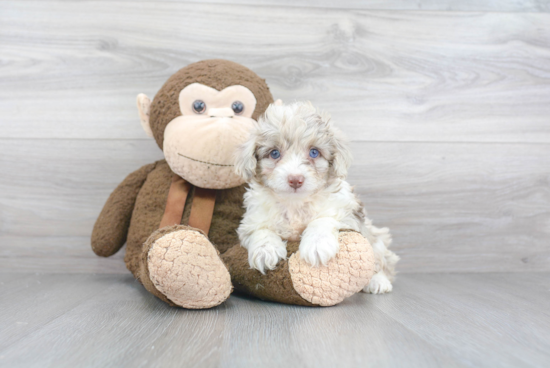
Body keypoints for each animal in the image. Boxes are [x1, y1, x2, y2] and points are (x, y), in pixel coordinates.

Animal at [235, 101, 398, 294]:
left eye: (314, 152)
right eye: (274, 153)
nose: (295, 179)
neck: (295, 204)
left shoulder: (345, 211)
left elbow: (322, 219)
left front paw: (316, 245)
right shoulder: (251, 221)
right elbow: (261, 230)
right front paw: (266, 250)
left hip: (375, 236)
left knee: (380, 257)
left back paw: (378, 281)